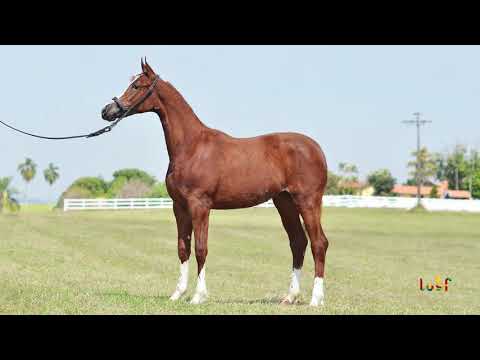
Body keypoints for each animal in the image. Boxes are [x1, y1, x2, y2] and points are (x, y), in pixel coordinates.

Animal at [101, 59, 330, 306]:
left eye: (137, 86)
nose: (107, 111)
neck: (191, 147)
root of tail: (316, 149)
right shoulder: (180, 207)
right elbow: (183, 248)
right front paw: (177, 293)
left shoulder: (200, 206)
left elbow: (201, 248)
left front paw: (198, 296)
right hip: (284, 202)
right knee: (298, 242)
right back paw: (290, 296)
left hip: (307, 201)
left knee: (319, 243)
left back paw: (316, 299)